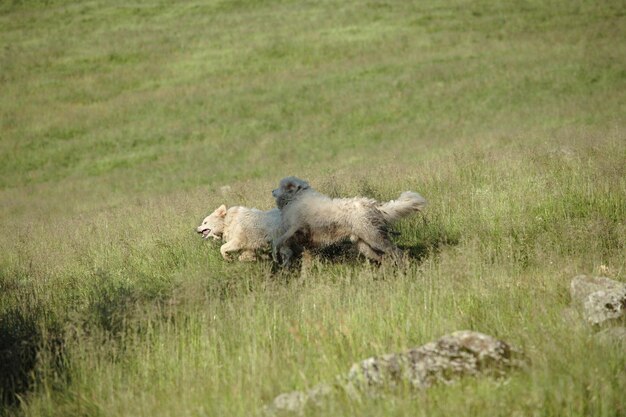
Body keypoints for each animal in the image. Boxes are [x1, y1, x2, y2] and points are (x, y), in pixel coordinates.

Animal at [270, 177, 426, 264]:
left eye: (279, 186)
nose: (272, 191)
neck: (297, 196)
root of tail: (373, 205)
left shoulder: (294, 227)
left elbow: (277, 241)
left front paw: (276, 255)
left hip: (375, 239)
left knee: (397, 252)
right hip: (365, 245)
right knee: (384, 257)